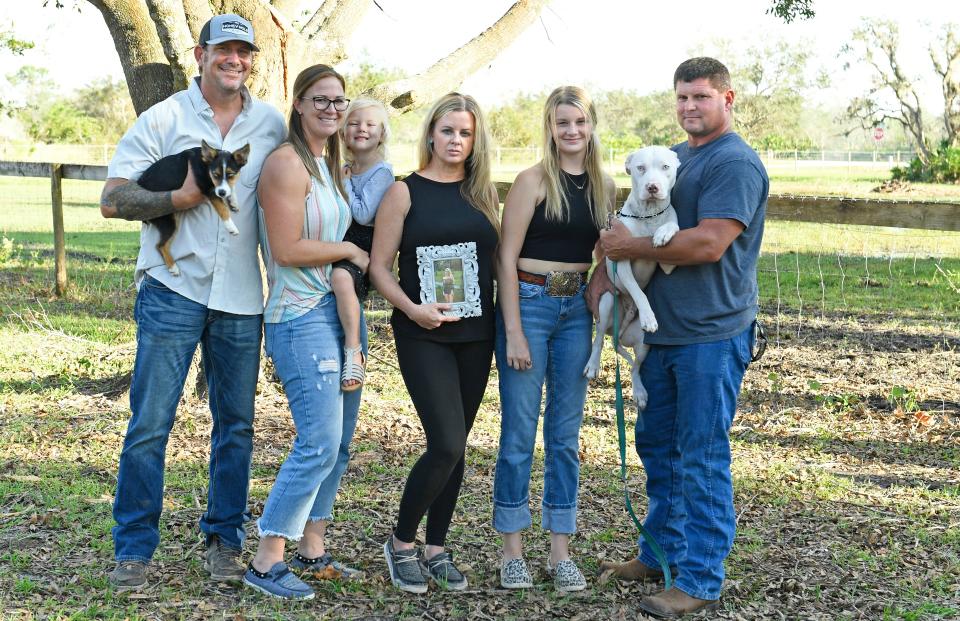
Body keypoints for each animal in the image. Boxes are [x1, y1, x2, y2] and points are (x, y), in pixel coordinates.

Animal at [139, 142, 253, 278]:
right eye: (215, 175)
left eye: (231, 175)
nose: (222, 193)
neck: (206, 165)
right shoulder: (208, 189)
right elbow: (222, 208)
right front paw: (231, 226)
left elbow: (231, 189)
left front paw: (233, 201)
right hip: (168, 221)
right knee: (160, 245)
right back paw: (173, 268)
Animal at [584, 145, 684, 406]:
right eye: (640, 168)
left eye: (665, 167)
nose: (652, 187)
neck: (649, 215)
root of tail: (619, 330)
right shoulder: (620, 261)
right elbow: (639, 292)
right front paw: (649, 316)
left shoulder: (669, 262)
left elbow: (673, 226)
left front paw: (663, 233)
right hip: (607, 302)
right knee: (598, 339)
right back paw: (592, 365)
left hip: (642, 343)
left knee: (634, 368)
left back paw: (639, 391)